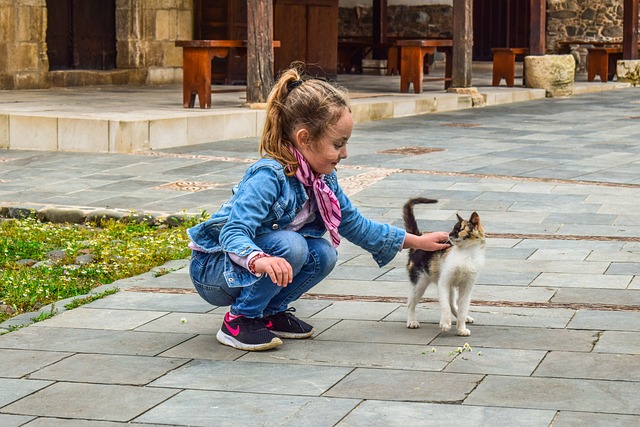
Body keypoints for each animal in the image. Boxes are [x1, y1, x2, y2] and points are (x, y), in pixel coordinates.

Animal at [402, 198, 488, 338]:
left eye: (459, 229)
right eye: (452, 228)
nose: (449, 234)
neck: (466, 253)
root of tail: (420, 238)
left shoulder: (467, 286)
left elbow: (463, 307)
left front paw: (461, 328)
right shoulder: (444, 282)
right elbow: (444, 305)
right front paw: (445, 324)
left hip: (451, 287)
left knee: (453, 304)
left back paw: (464, 318)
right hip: (419, 282)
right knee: (410, 303)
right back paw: (412, 321)